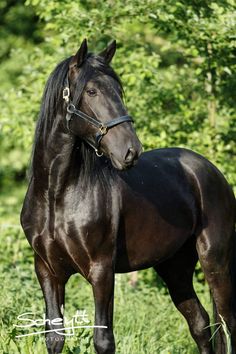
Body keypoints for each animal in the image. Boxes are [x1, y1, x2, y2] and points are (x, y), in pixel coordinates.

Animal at [21, 40, 235, 352]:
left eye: (118, 90)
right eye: (91, 91)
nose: (131, 150)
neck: (57, 195)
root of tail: (210, 171)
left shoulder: (101, 271)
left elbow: (103, 339)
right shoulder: (47, 271)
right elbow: (55, 336)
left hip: (214, 260)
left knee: (226, 324)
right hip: (175, 268)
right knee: (200, 322)